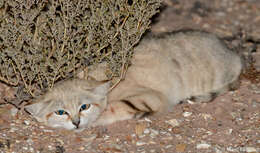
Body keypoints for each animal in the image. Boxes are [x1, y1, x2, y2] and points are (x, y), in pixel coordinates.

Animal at [25, 30, 243, 130]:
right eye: (60, 112)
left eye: (84, 106)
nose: (76, 123)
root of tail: (235, 56)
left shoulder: (150, 97)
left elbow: (114, 108)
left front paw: (95, 120)